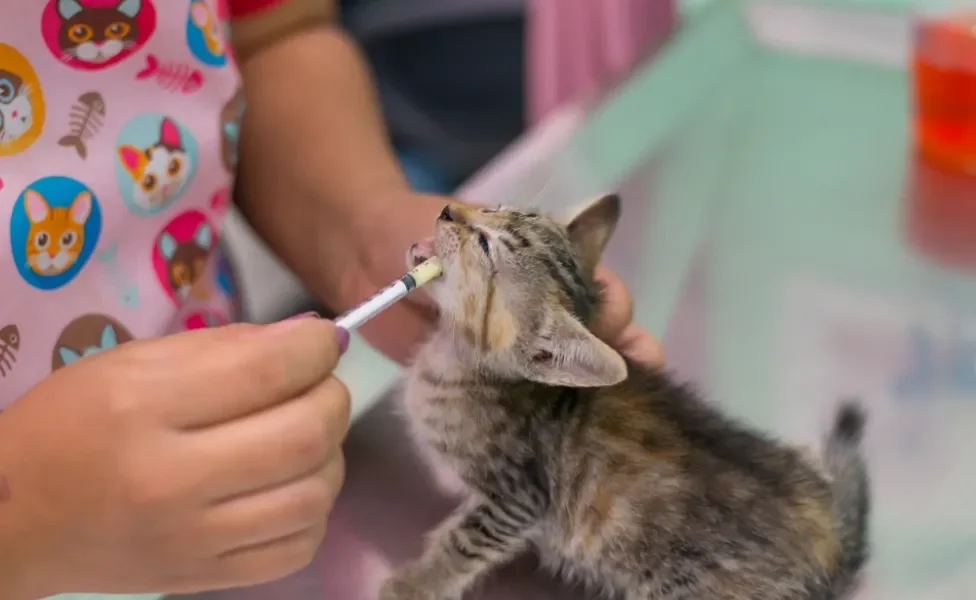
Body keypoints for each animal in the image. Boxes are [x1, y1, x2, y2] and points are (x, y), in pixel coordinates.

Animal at [386, 195, 872, 596]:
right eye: (493, 207)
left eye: (486, 245)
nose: (448, 208)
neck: (456, 360)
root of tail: (832, 543)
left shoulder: (518, 498)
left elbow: (461, 545)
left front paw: (411, 586)